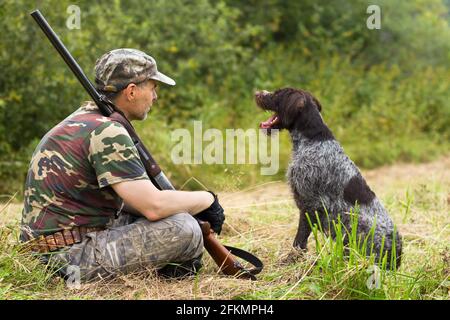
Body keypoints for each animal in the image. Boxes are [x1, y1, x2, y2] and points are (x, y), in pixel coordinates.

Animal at [255, 87, 402, 268]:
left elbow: (299, 240)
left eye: (277, 94)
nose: (257, 93)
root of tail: (397, 256)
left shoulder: (310, 205)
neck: (312, 139)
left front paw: (290, 261)